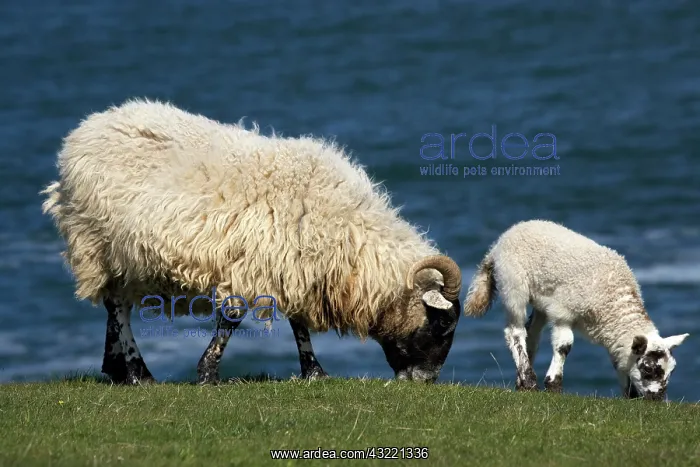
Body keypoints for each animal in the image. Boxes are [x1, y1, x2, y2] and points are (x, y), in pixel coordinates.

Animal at [41, 98, 463, 385]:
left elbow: (298, 323)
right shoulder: (255, 262)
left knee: (118, 306)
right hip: (98, 242)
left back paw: (118, 367)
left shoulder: (294, 265)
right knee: (117, 307)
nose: (426, 382)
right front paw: (208, 373)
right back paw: (135, 371)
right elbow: (232, 317)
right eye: (443, 326)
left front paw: (313, 371)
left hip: (124, 256)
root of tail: (88, 127)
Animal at [463, 219, 688, 400]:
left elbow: (618, 360)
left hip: (540, 300)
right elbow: (564, 346)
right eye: (648, 369)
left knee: (531, 335)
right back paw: (529, 381)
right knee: (515, 332)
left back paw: (522, 382)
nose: (657, 399)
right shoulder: (564, 313)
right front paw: (553, 385)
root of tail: (498, 244)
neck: (612, 306)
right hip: (513, 285)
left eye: (671, 371)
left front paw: (629, 396)